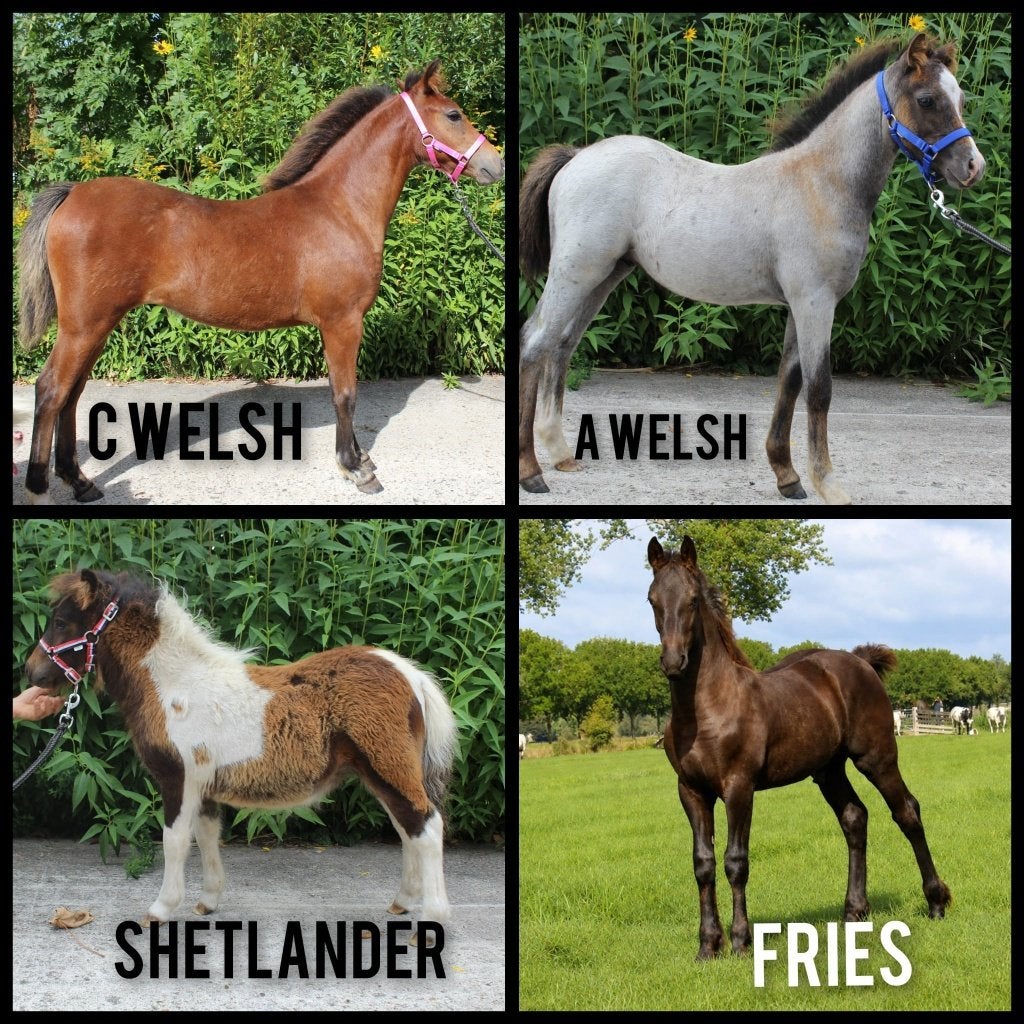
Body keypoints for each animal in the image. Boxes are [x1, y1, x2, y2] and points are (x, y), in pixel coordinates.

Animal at [17, 61, 504, 504]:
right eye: (454, 114)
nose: (494, 165)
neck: (340, 208)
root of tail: (73, 193)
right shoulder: (343, 322)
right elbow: (345, 393)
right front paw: (356, 469)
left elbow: (341, 390)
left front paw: (360, 458)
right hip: (85, 325)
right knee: (51, 390)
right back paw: (40, 490)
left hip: (95, 325)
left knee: (72, 394)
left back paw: (80, 483)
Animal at [23, 569, 458, 927]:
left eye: (61, 621)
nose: (32, 672)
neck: (174, 685)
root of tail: (410, 675)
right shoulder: (205, 785)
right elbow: (207, 835)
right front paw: (207, 902)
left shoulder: (179, 778)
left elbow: (174, 842)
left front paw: (160, 909)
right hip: (384, 771)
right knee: (407, 829)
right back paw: (402, 902)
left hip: (389, 767)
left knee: (427, 826)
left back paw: (432, 918)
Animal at [519, 34, 985, 504]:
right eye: (926, 99)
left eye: (962, 99)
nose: (973, 167)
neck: (822, 183)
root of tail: (577, 156)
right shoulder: (816, 302)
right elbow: (819, 389)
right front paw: (829, 484)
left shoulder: (801, 305)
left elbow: (789, 382)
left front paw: (788, 476)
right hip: (576, 274)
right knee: (535, 342)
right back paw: (530, 471)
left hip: (603, 276)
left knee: (561, 344)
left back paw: (560, 452)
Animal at [646, 536, 951, 959]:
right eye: (652, 599)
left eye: (692, 600)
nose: (674, 661)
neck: (707, 709)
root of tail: (859, 661)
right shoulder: (691, 791)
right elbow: (702, 863)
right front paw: (708, 945)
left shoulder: (738, 787)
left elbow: (735, 861)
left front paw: (740, 942)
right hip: (828, 770)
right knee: (854, 818)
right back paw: (854, 911)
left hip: (876, 758)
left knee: (906, 811)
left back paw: (936, 901)